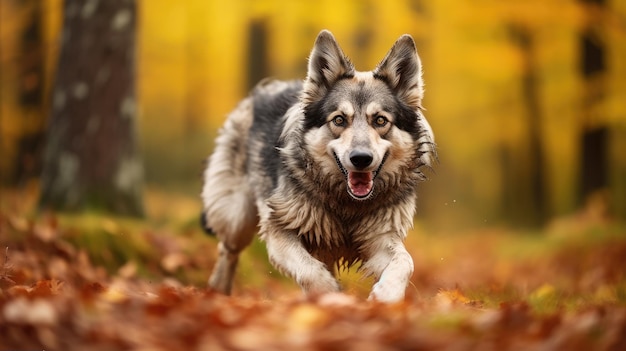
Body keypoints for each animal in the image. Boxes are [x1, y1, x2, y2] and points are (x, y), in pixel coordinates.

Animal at [200, 29, 434, 302]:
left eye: (380, 120)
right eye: (339, 120)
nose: (361, 158)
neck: (347, 205)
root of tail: (261, 90)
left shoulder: (381, 238)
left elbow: (405, 262)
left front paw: (387, 295)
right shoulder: (277, 228)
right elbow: (310, 270)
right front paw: (330, 296)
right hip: (236, 218)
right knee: (227, 250)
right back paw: (217, 291)